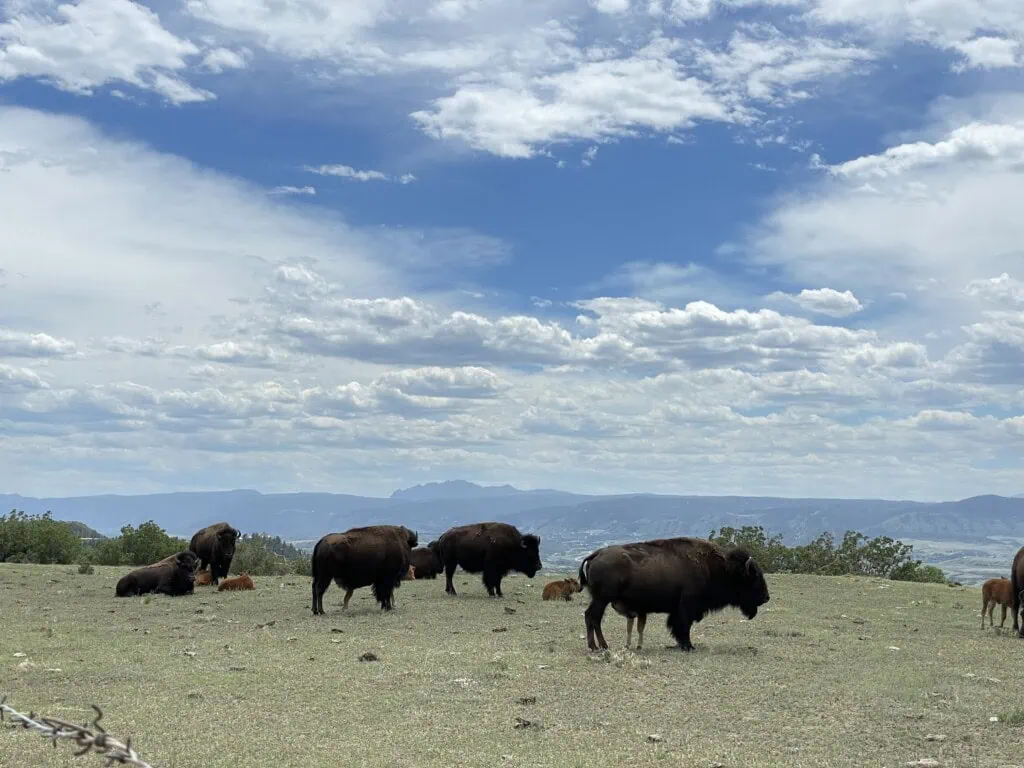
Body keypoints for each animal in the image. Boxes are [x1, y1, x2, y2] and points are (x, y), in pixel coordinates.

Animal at [578, 536, 770, 653]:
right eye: (754, 577)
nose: (766, 597)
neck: (718, 568)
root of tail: (596, 554)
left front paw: (682, 645)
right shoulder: (686, 607)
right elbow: (683, 626)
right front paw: (688, 646)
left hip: (599, 599)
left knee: (590, 616)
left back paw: (597, 646)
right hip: (602, 599)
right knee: (594, 617)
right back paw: (600, 646)